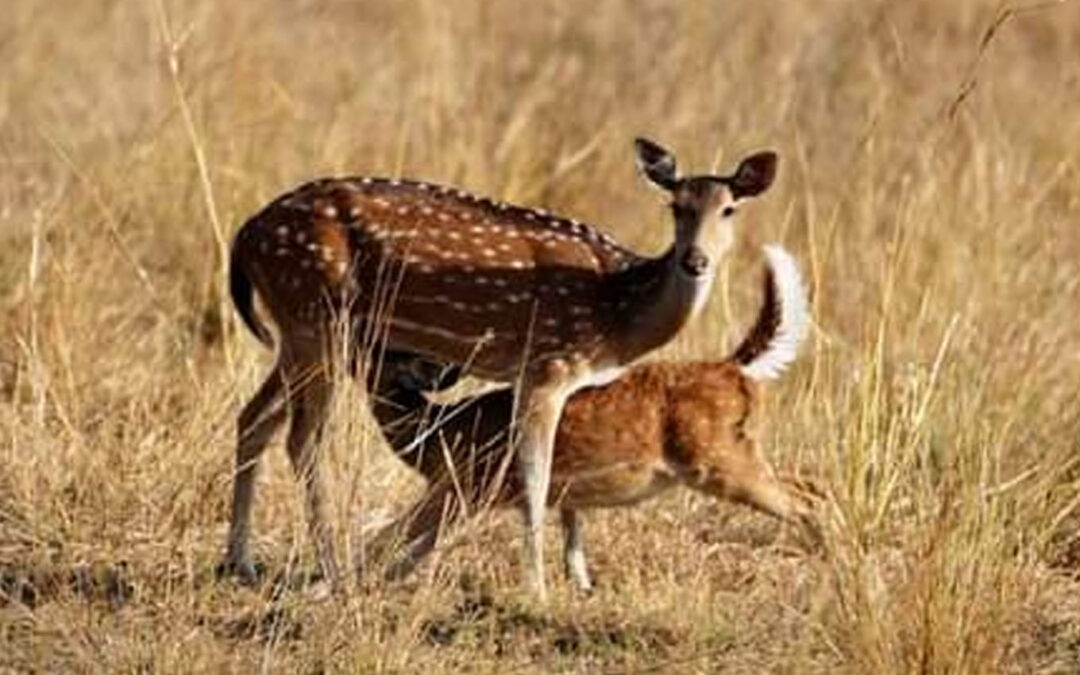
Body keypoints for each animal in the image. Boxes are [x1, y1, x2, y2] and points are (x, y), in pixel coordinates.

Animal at [363, 245, 818, 591]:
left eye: (388, 346)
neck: (434, 430)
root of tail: (733, 368)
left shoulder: (464, 482)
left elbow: (388, 538)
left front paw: (346, 582)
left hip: (714, 458)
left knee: (805, 498)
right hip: (735, 450)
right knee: (807, 483)